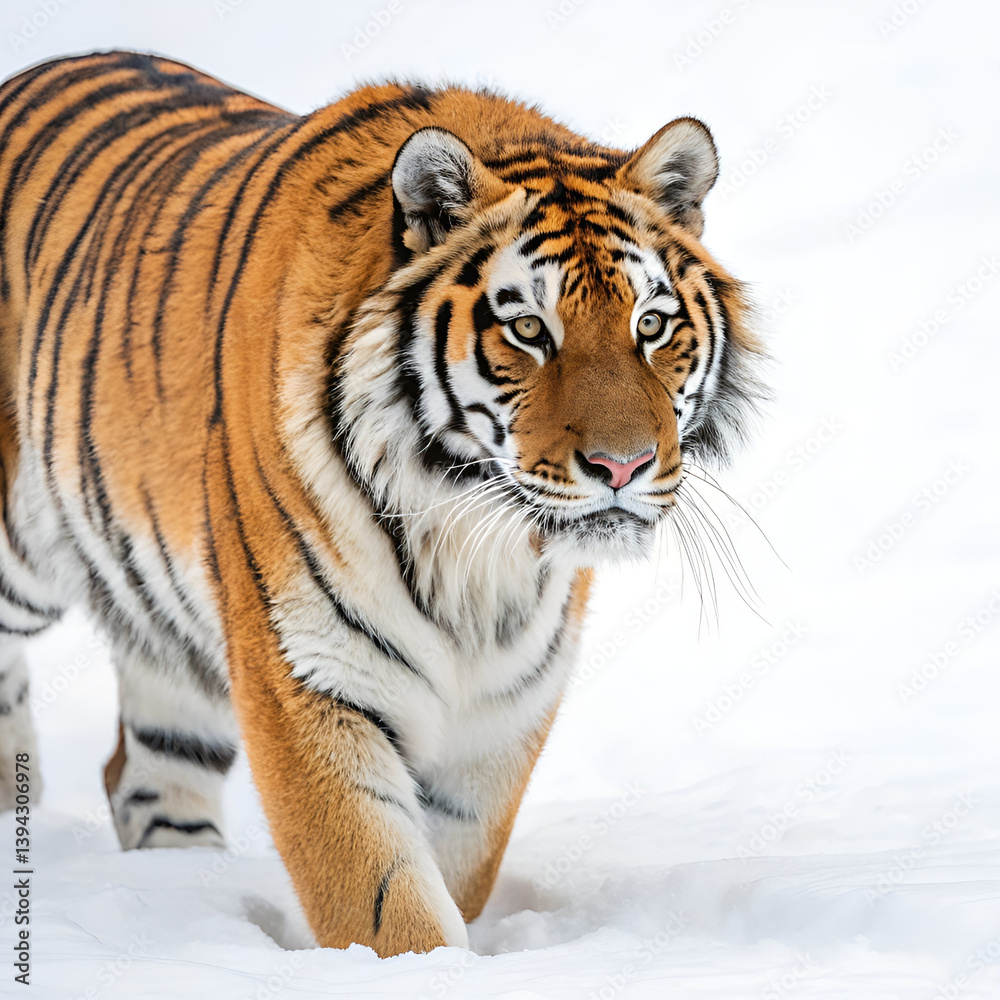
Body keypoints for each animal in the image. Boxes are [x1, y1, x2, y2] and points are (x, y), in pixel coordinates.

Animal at [0, 51, 764, 956]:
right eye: (529, 331)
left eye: (651, 326)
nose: (625, 464)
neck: (475, 540)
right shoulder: (307, 676)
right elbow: (383, 897)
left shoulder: (506, 703)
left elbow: (457, 865)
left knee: (146, 770)